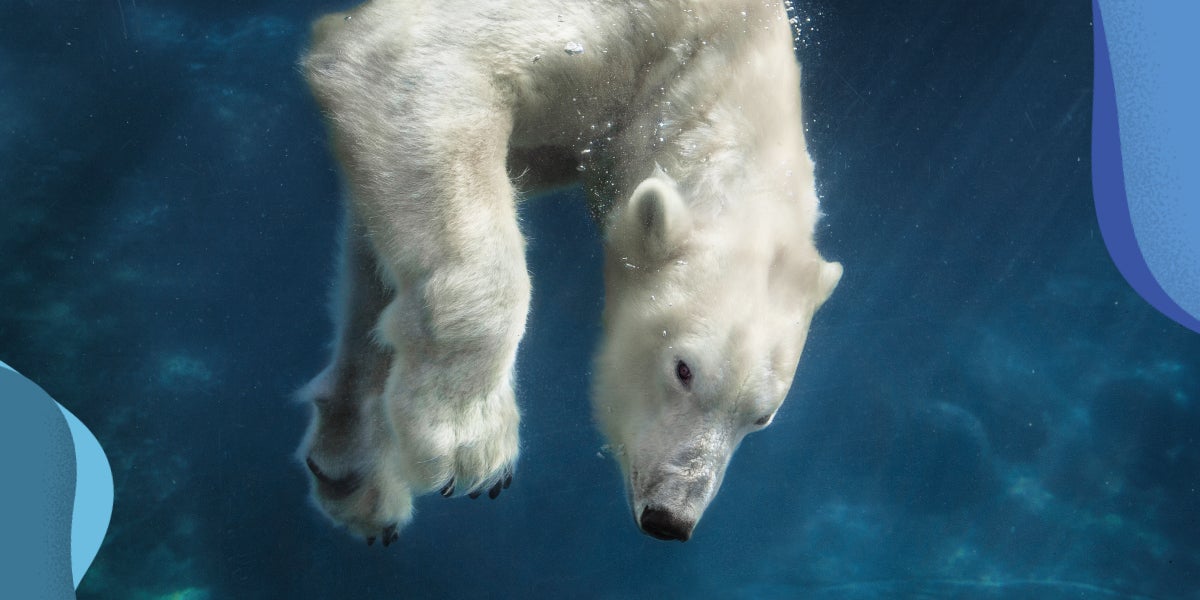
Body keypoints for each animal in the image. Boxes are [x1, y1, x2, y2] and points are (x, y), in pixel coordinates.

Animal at [296, 0, 842, 545]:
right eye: (683, 370)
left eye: (761, 417)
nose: (670, 518)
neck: (718, 49)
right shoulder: (624, 33)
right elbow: (415, 66)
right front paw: (469, 441)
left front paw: (355, 471)